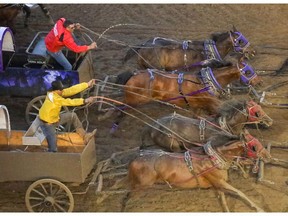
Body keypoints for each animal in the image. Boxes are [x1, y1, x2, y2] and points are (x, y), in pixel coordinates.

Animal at [127, 136, 272, 212]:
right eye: (254, 147)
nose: (268, 156)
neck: (213, 159)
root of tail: (135, 159)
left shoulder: (218, 185)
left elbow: (224, 202)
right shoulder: (220, 182)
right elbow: (240, 193)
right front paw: (259, 209)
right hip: (139, 187)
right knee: (128, 200)